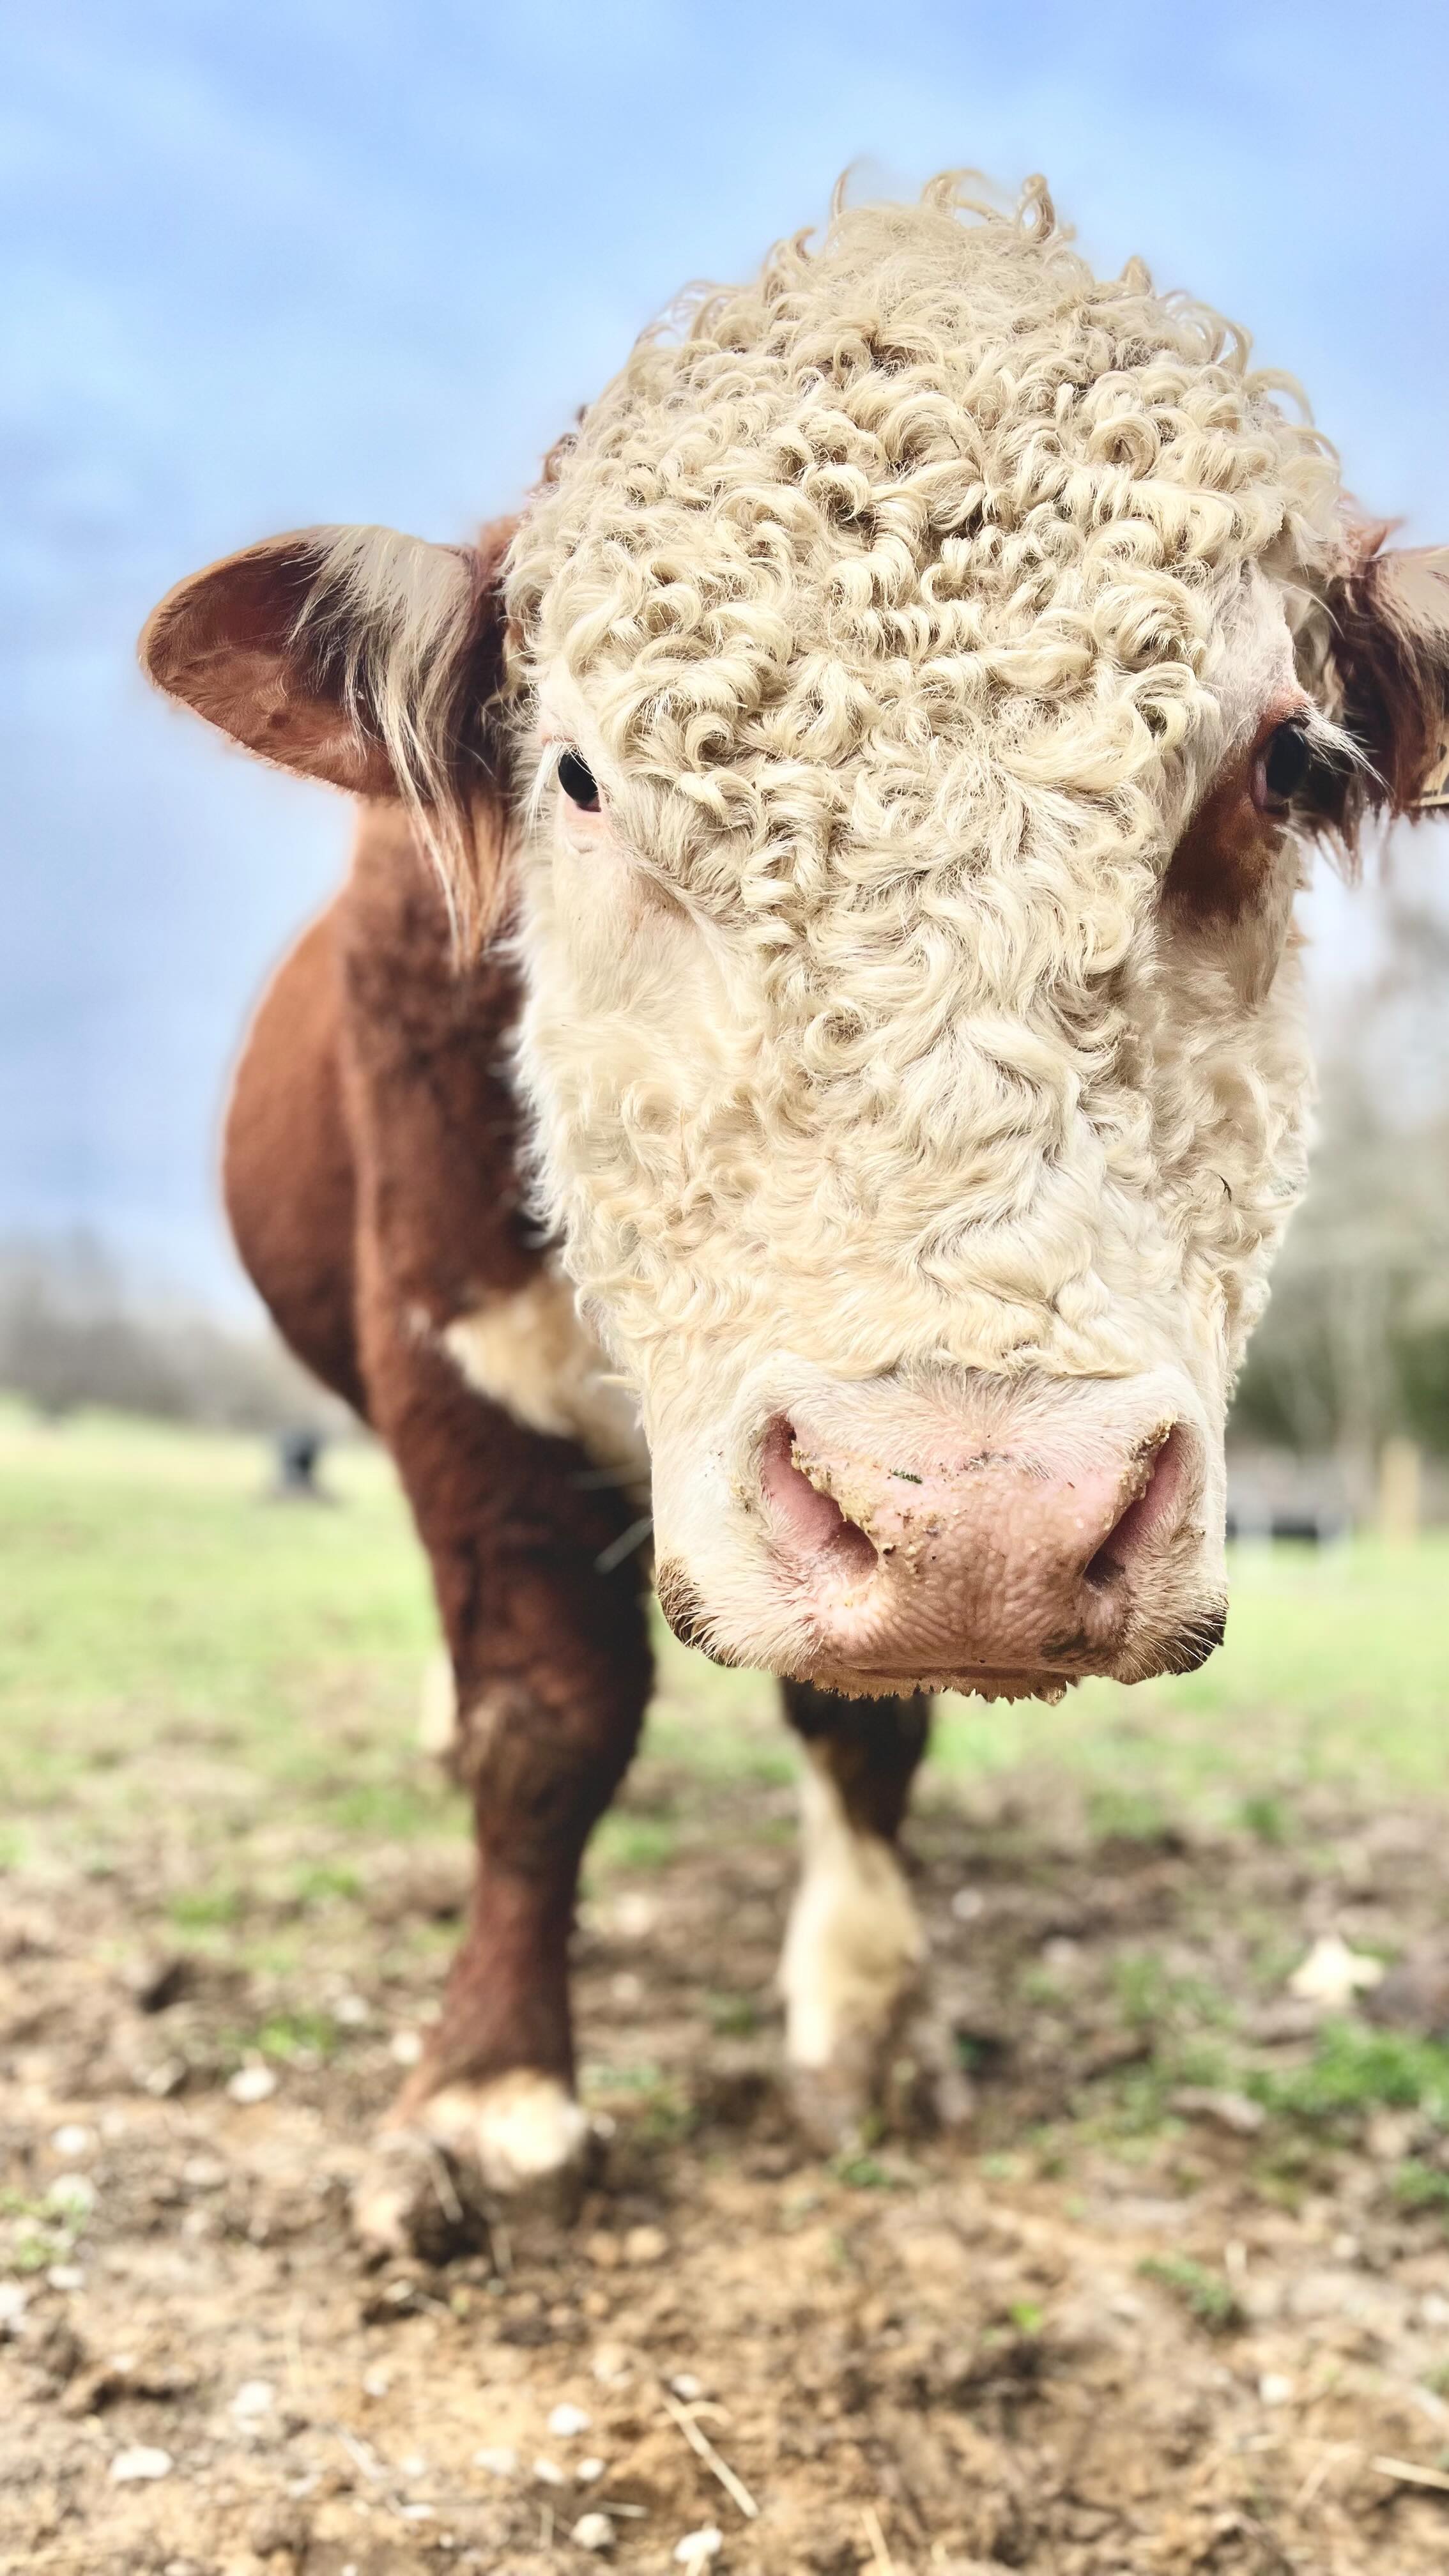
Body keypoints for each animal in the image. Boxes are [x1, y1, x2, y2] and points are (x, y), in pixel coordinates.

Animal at [140, 173, 1449, 2253]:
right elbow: (544, 1719)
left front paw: (868, 2015)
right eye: (578, 774)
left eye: (1284, 768)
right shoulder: (447, 1355)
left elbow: (865, 1723)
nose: (989, 1521)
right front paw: (494, 2089)